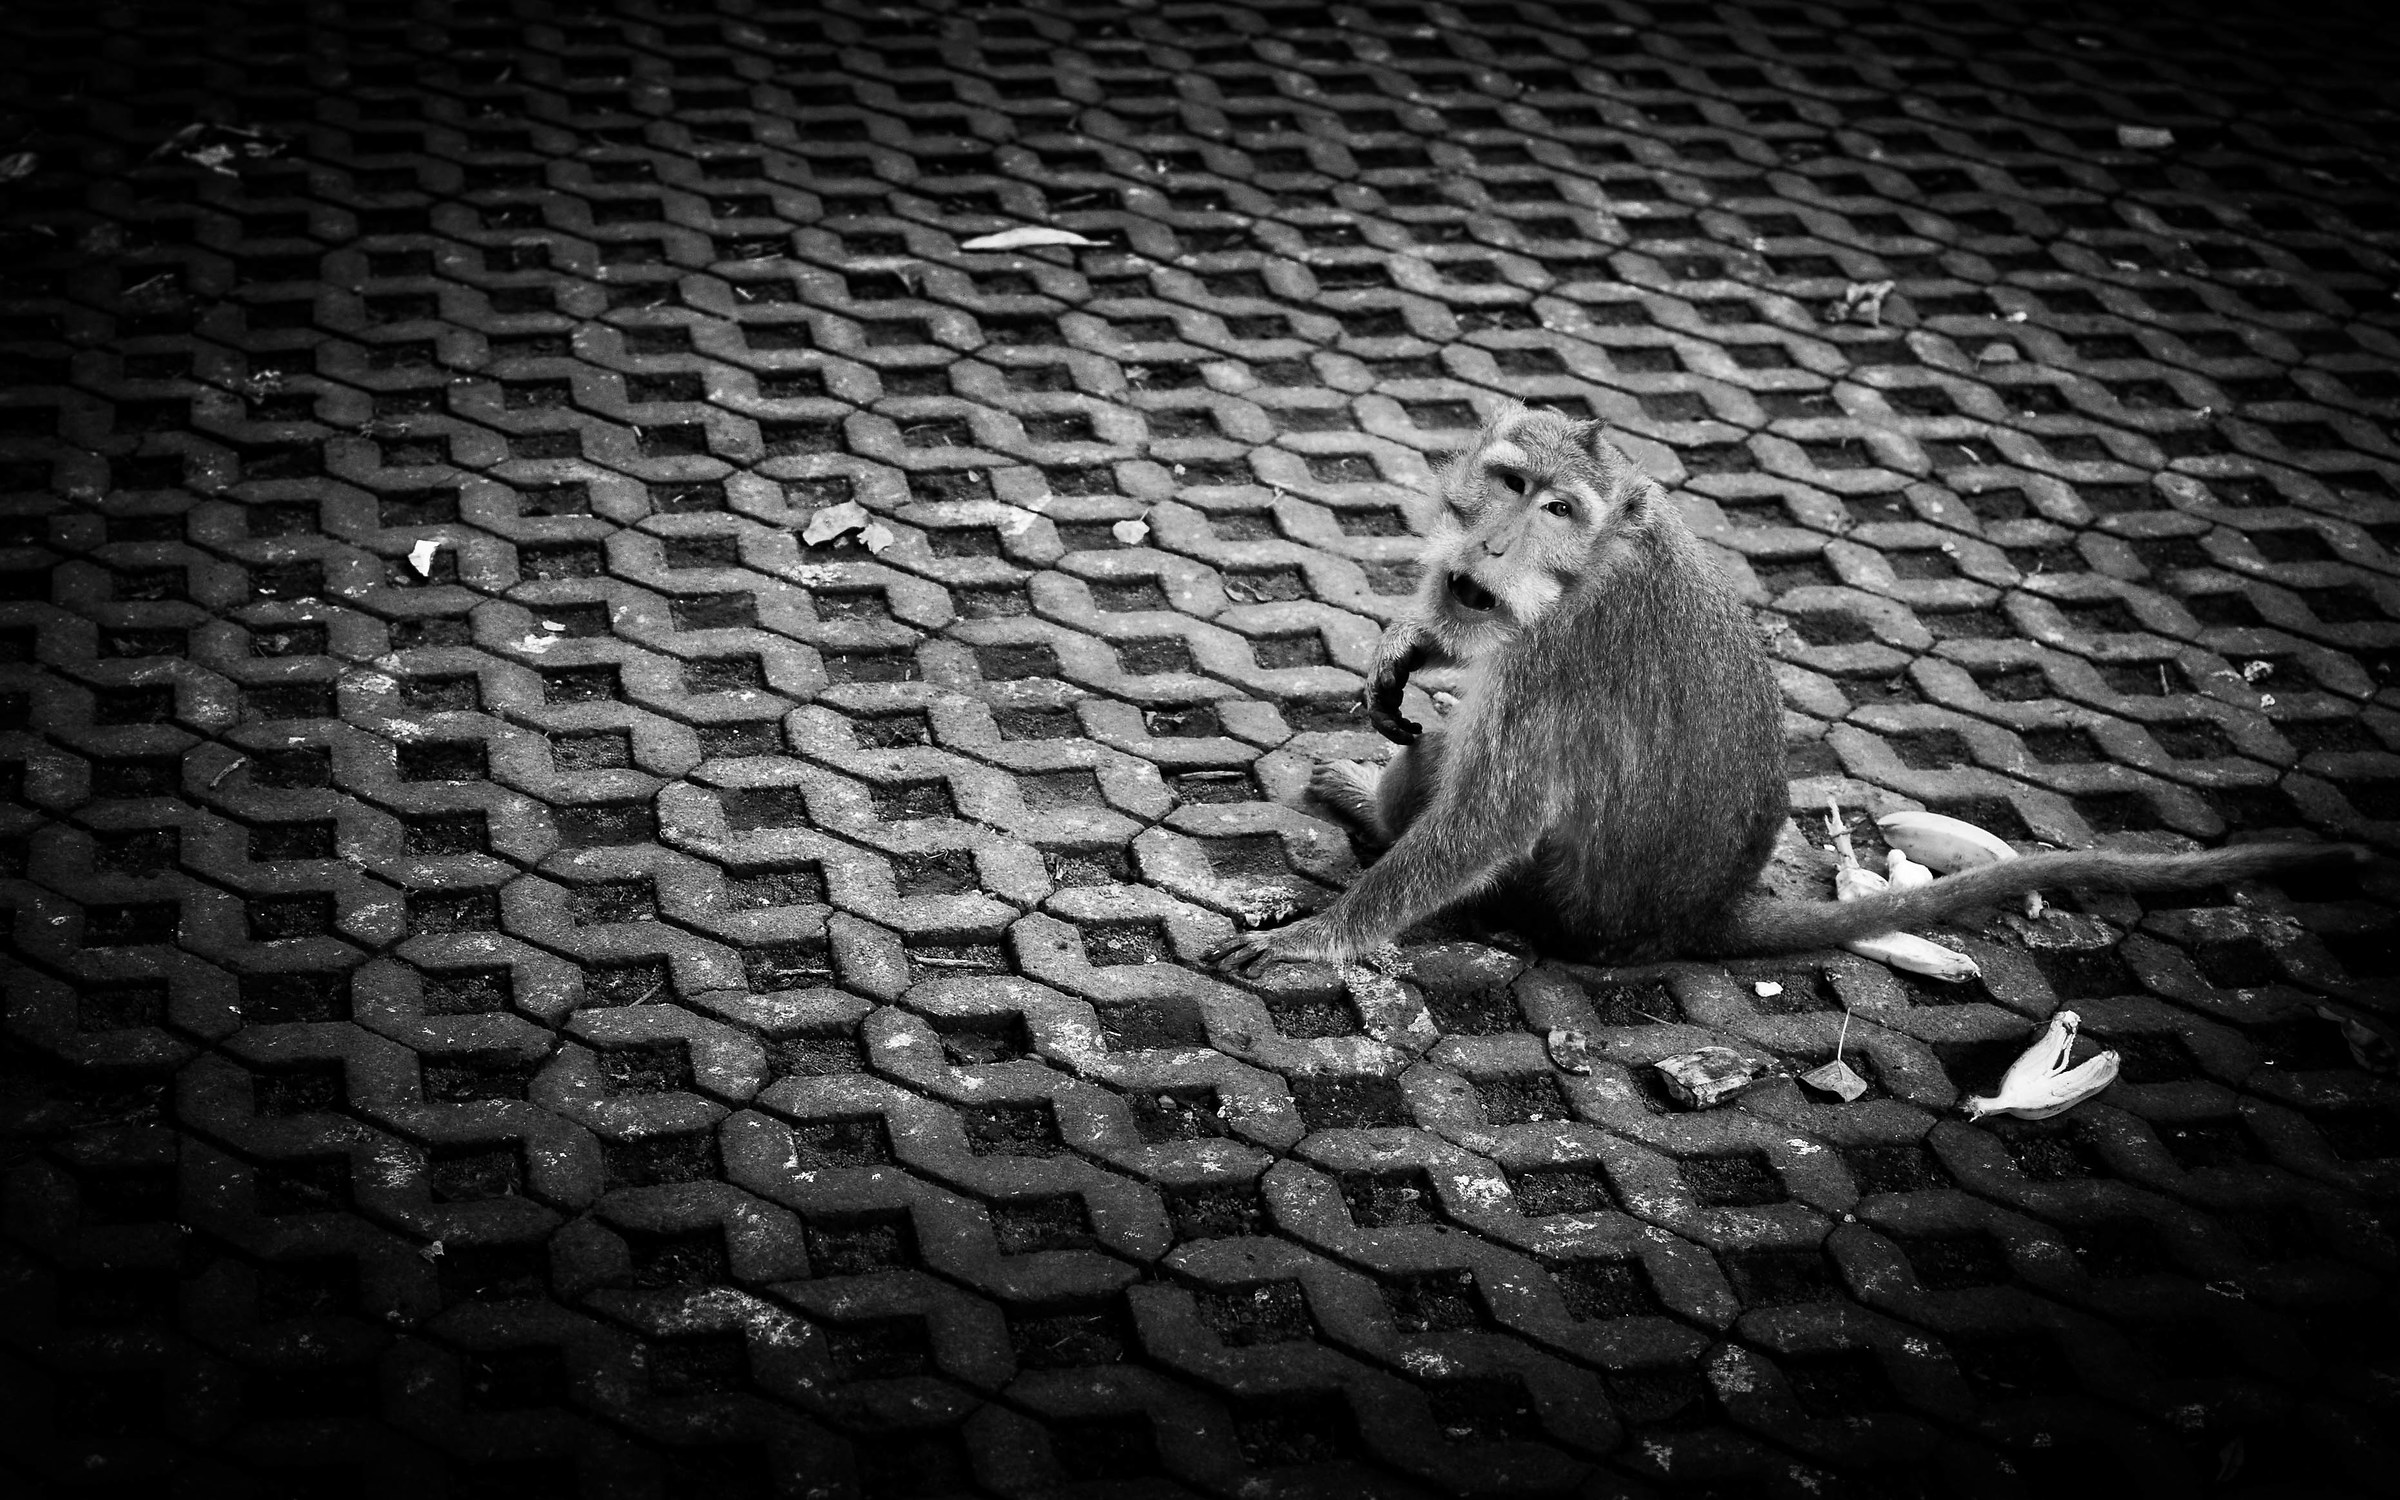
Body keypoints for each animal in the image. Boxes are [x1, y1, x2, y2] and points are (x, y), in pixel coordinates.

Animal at [1208, 405, 2364, 976]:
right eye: (1508, 482)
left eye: (1559, 510)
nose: (1491, 543)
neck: (1589, 570)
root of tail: (1702, 913)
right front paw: (1411, 638)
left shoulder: (1552, 662)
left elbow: (1490, 818)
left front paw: (1325, 935)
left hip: (1559, 904)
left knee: (1458, 768)